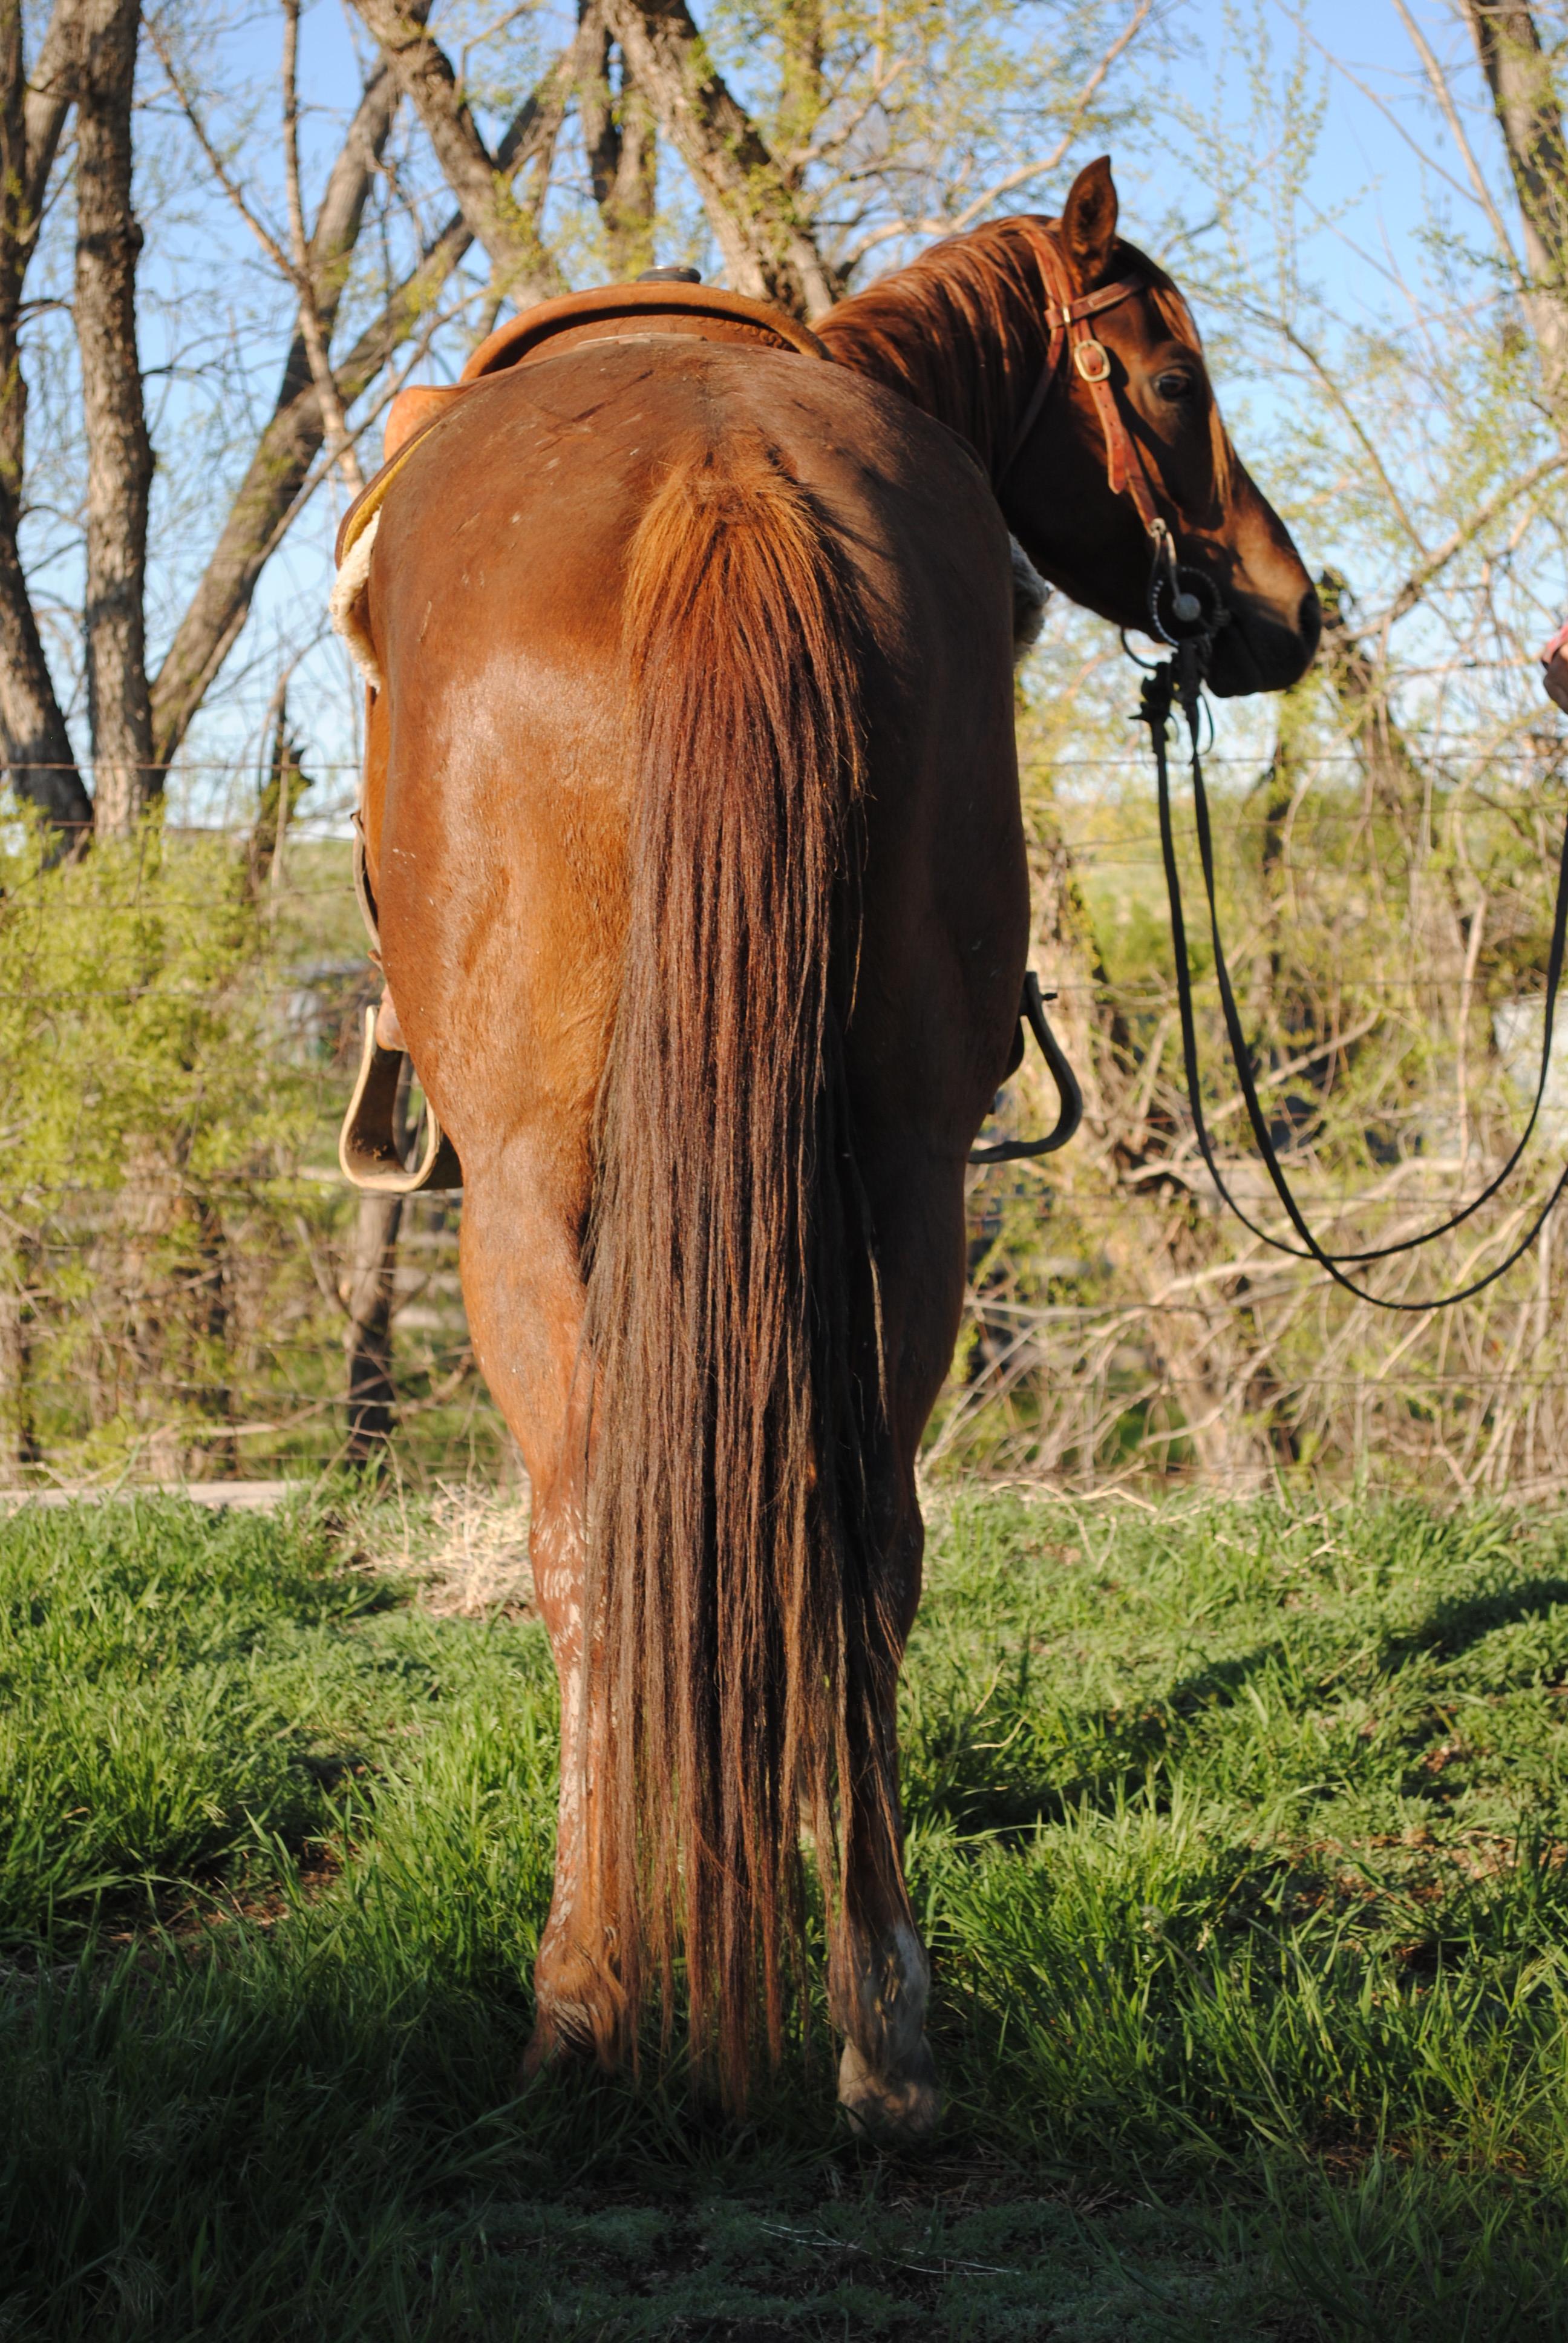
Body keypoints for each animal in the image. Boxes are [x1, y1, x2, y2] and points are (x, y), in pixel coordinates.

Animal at [349, 151, 1312, 2146]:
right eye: (1173, 382)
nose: (1284, 604)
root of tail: (726, 479)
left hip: (537, 1207)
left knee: (594, 1551)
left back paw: (587, 2003)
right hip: (908, 1171)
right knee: (870, 1544)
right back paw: (885, 2027)